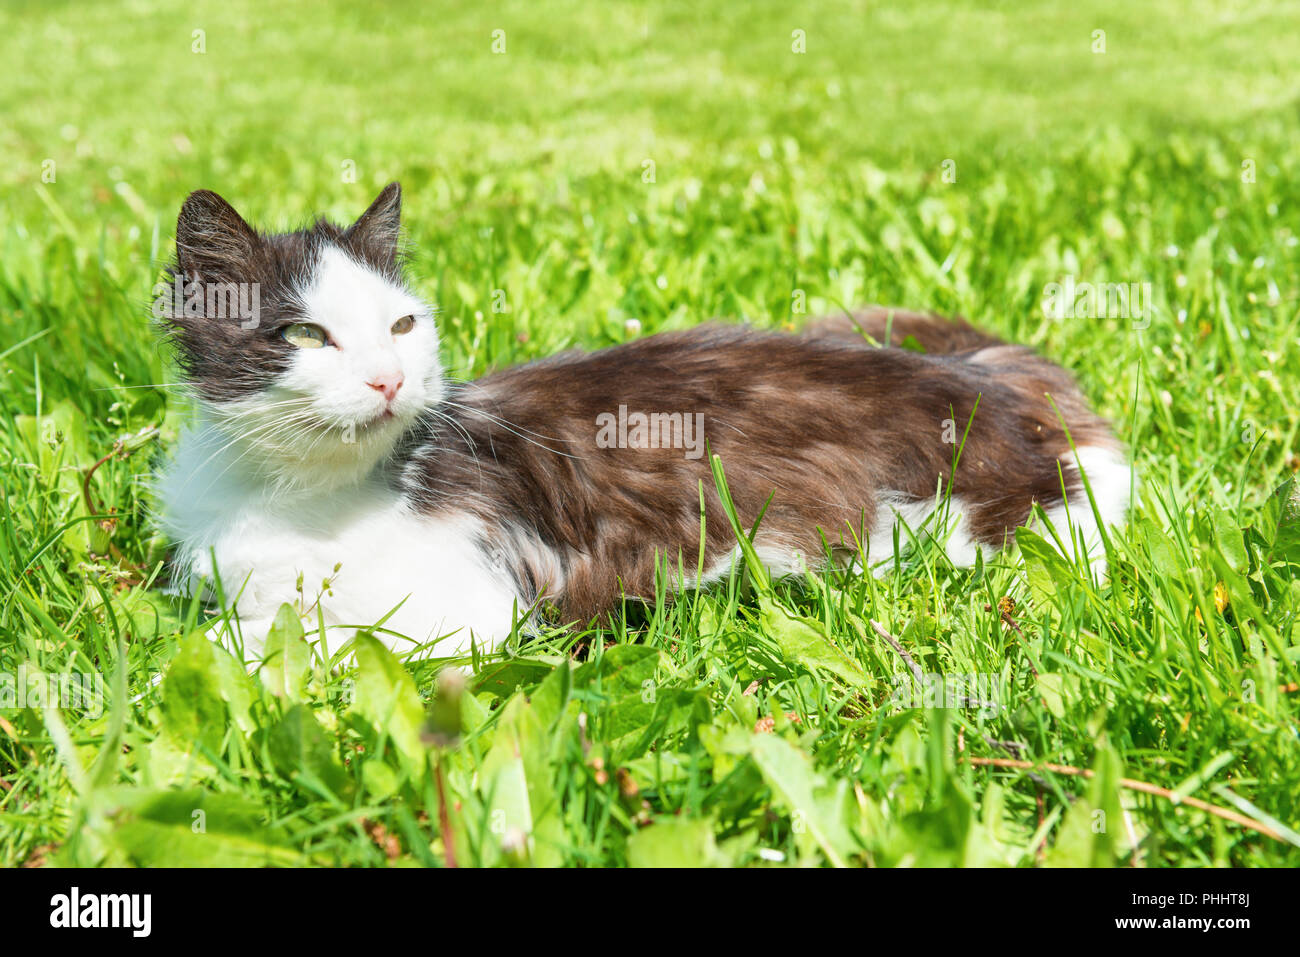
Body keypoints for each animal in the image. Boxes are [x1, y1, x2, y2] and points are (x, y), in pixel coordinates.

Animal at [149, 187, 1128, 665]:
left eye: (401, 325)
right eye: (306, 335)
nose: (389, 378)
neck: (297, 493)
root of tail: (980, 375)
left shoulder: (466, 609)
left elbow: (301, 633)